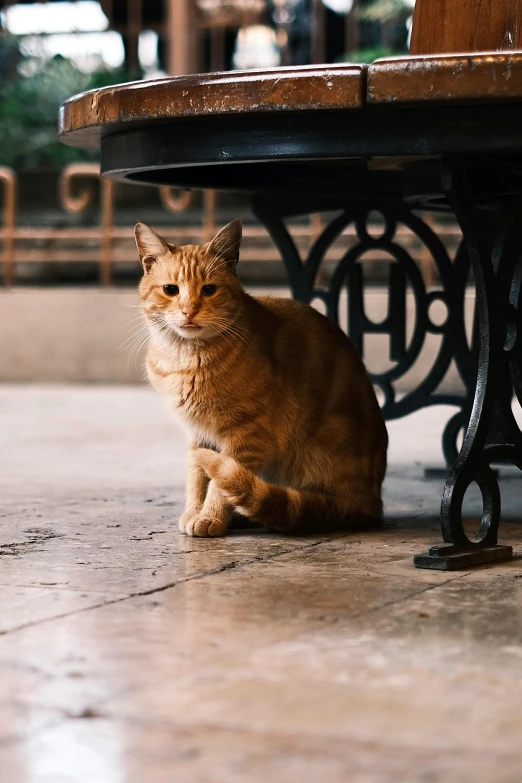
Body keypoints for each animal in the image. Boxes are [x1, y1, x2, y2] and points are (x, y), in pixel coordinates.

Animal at [134, 220, 386, 540]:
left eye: (209, 289)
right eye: (170, 289)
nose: (189, 310)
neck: (184, 358)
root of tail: (373, 502)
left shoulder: (247, 437)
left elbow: (218, 482)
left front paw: (210, 516)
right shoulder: (199, 434)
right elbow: (197, 478)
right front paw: (194, 511)